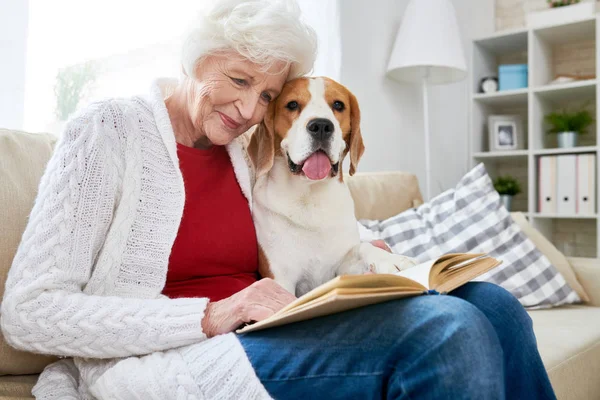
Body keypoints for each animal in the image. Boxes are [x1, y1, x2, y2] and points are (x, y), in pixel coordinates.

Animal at [248, 76, 418, 296]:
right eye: (292, 104)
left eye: (338, 105)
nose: (321, 125)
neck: (310, 198)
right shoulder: (281, 278)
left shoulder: (340, 267)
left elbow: (362, 247)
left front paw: (391, 259)